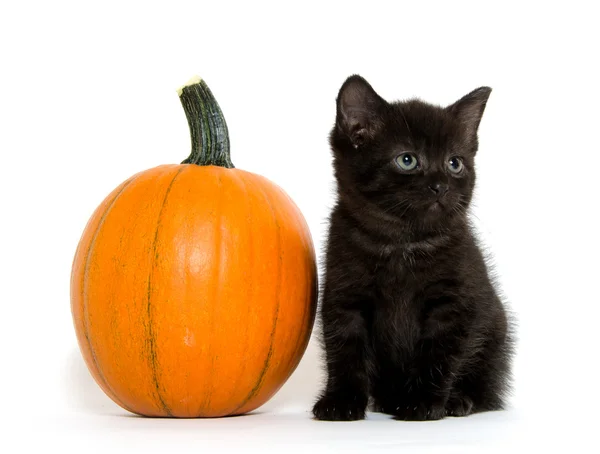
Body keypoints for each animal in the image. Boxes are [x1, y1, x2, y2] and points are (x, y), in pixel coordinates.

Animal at [312, 75, 512, 422]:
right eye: (407, 160)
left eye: (454, 163)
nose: (441, 186)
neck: (401, 243)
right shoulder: (344, 296)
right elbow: (344, 351)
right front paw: (341, 401)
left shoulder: (454, 303)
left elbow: (439, 353)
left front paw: (421, 402)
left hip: (495, 331)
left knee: (487, 388)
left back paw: (459, 400)